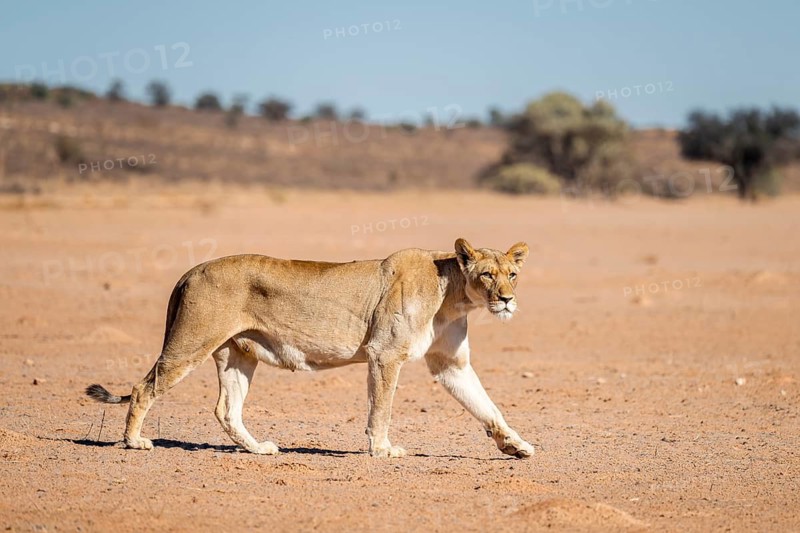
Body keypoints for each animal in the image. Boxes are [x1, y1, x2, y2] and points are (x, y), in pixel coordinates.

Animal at [86, 238, 535, 459]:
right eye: (487, 275)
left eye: (512, 274)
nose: (508, 300)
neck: (454, 294)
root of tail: (191, 270)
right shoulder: (385, 353)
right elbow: (382, 409)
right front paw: (382, 449)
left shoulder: (450, 364)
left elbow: (487, 408)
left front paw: (515, 446)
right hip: (191, 341)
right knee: (144, 388)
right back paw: (134, 442)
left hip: (237, 353)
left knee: (226, 409)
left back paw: (259, 449)